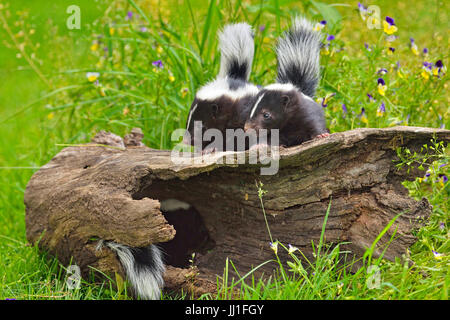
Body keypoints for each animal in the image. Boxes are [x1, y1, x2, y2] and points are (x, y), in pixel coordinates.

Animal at [184, 23, 260, 151]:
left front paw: (215, 148)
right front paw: (206, 149)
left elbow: (236, 136)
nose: (186, 141)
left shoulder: (241, 116)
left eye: (202, 126)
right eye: (187, 121)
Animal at [244, 17, 328, 148]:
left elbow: (314, 124)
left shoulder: (306, 113)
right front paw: (261, 145)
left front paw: (321, 135)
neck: (288, 124)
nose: (247, 128)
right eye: (250, 111)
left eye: (266, 115)